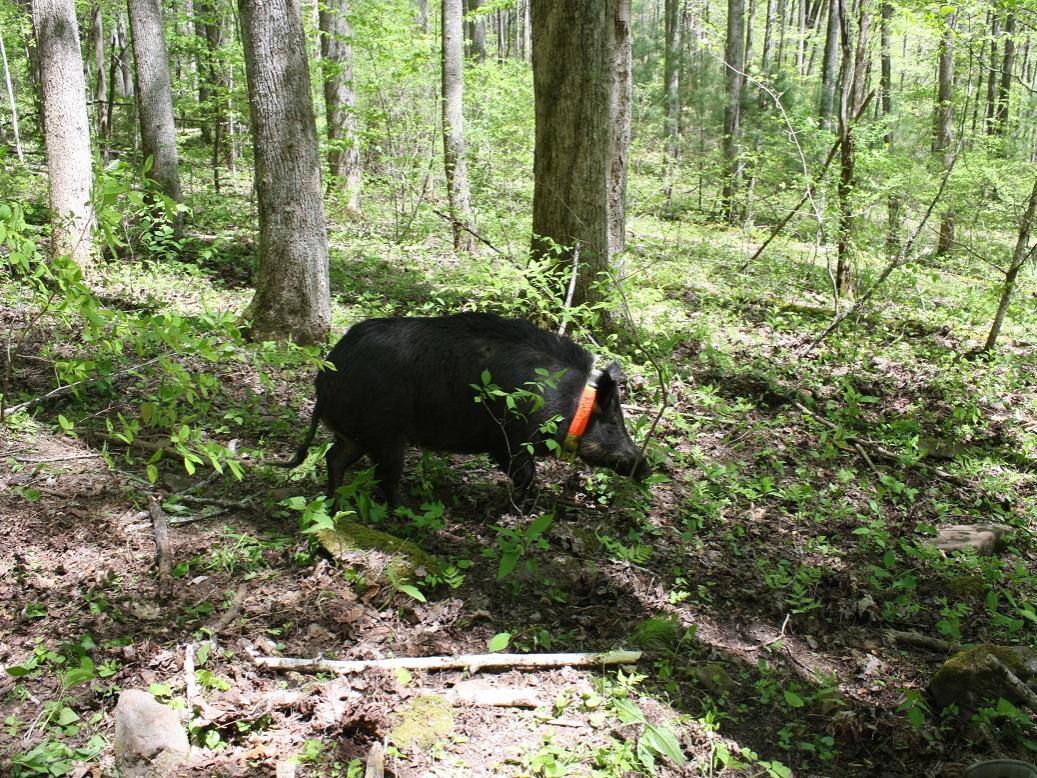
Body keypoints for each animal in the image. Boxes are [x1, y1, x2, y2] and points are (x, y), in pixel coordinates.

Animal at [284, 312, 650, 508]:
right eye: (613, 424)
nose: (645, 468)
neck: (570, 406)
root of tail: (326, 374)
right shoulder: (510, 442)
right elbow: (526, 476)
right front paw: (529, 507)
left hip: (358, 433)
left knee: (335, 458)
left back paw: (334, 503)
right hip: (385, 435)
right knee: (382, 476)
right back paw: (406, 509)